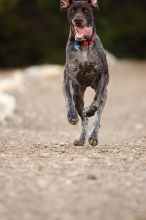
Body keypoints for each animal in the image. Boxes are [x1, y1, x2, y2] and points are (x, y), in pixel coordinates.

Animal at [60, 0, 108, 146]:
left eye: (86, 10)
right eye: (73, 10)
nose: (78, 20)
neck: (84, 45)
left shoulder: (103, 76)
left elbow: (96, 103)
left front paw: (90, 109)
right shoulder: (70, 79)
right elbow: (68, 100)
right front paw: (72, 116)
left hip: (104, 95)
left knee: (97, 118)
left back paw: (93, 137)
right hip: (78, 95)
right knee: (84, 118)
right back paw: (81, 139)